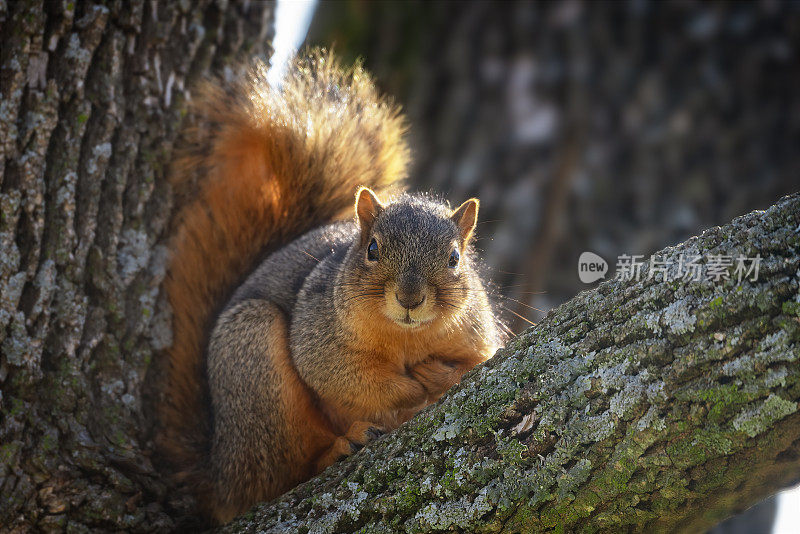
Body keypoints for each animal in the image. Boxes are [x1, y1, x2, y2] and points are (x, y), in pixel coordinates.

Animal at [159, 51, 504, 528]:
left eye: (455, 258)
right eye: (372, 248)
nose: (410, 299)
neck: (406, 339)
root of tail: (217, 470)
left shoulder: (476, 335)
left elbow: (478, 362)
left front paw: (438, 376)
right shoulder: (319, 331)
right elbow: (345, 377)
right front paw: (411, 390)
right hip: (253, 365)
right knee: (279, 473)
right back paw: (340, 447)